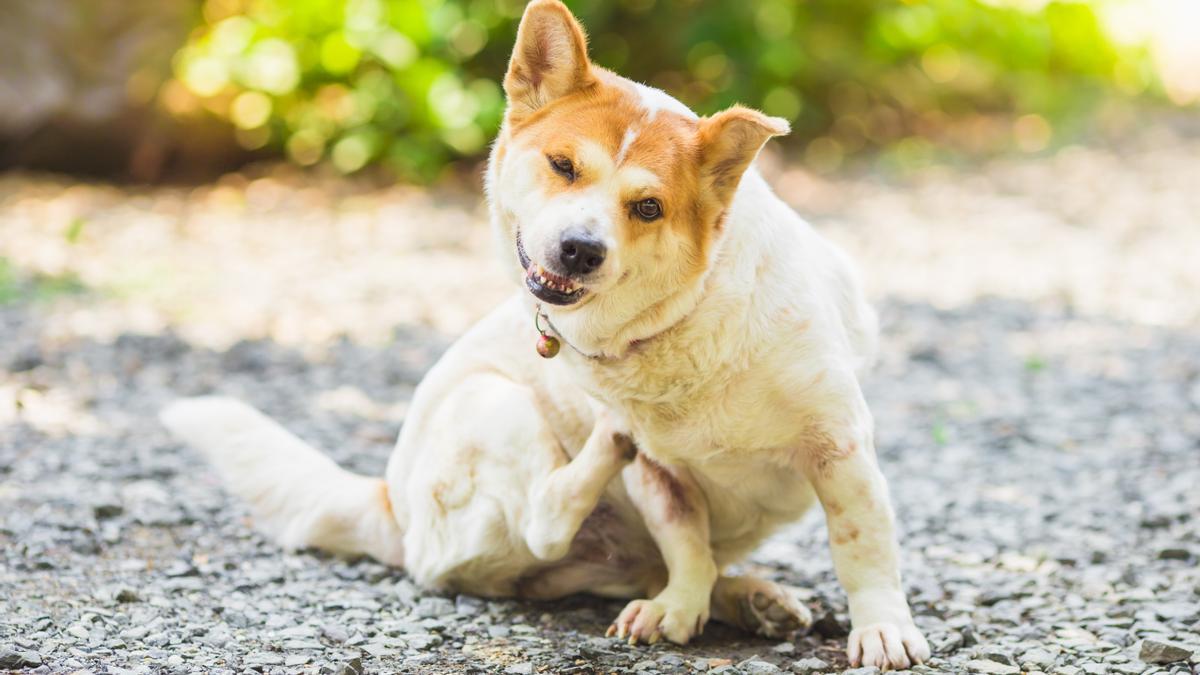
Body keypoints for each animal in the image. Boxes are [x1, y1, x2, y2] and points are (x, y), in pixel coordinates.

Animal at [162, 0, 926, 662]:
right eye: (563, 165)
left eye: (648, 207)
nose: (580, 249)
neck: (685, 319)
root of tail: (389, 505)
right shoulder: (660, 476)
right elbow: (685, 541)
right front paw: (680, 605)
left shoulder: (839, 445)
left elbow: (860, 544)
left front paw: (881, 629)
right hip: (494, 403)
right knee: (546, 519)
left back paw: (749, 598)